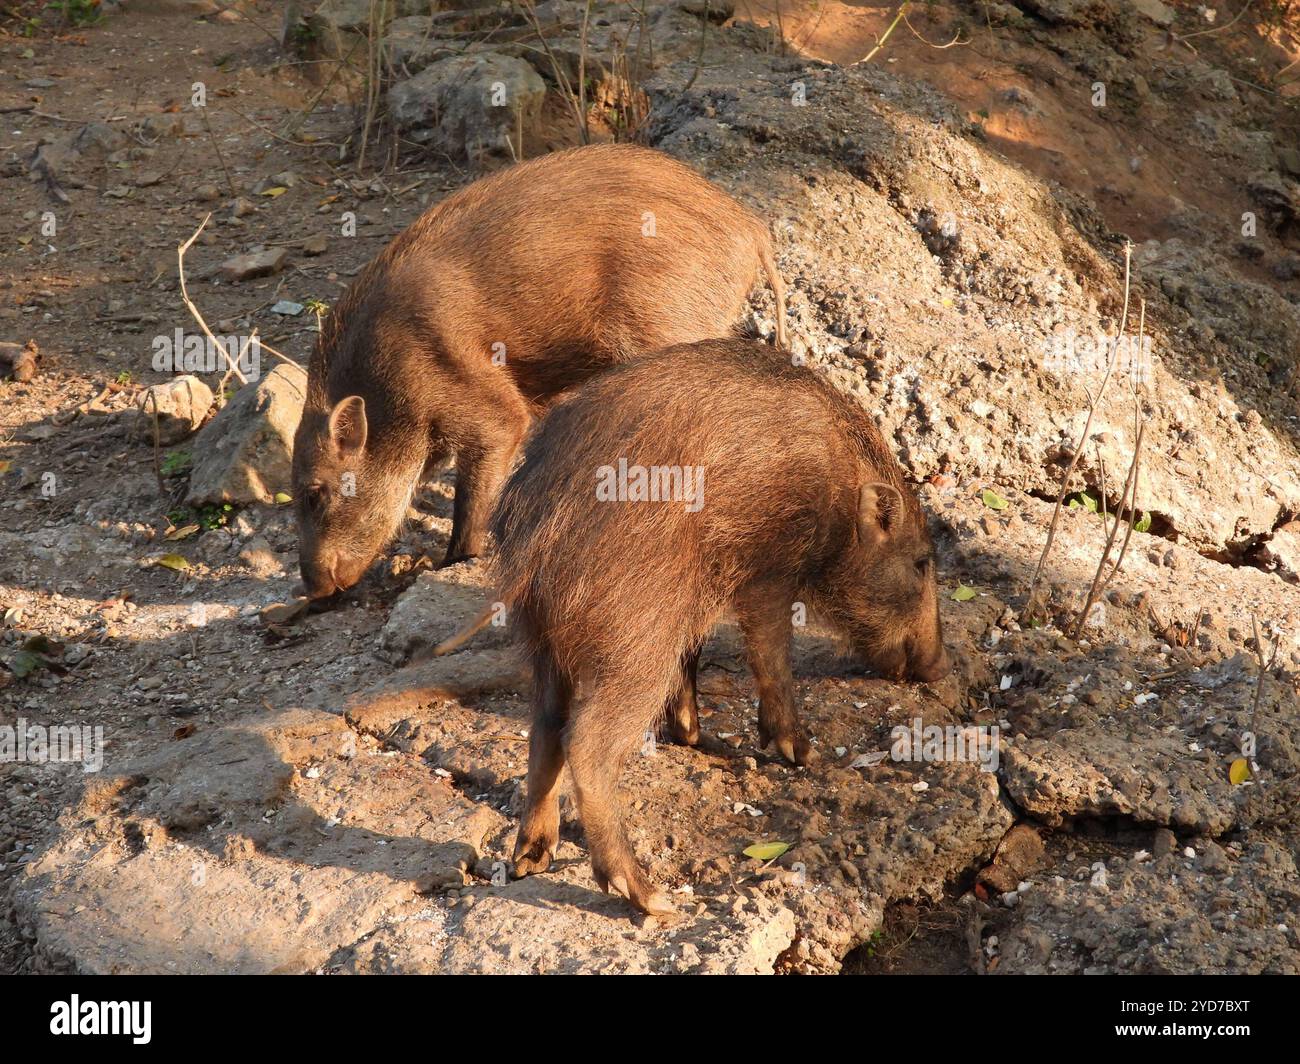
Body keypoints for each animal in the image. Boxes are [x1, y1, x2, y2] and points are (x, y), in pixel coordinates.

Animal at [291, 143, 787, 598]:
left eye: (315, 494)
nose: (312, 591)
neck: (385, 389)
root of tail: (752, 229)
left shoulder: (491, 411)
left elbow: (474, 497)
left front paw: (446, 564)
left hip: (661, 325)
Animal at [491, 338, 951, 917]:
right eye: (921, 563)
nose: (942, 668)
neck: (837, 494)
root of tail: (536, 529)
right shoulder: (767, 576)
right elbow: (771, 657)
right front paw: (803, 753)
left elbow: (698, 657)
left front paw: (696, 735)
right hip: (635, 643)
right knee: (587, 743)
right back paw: (649, 895)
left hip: (544, 642)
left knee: (545, 727)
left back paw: (531, 857)